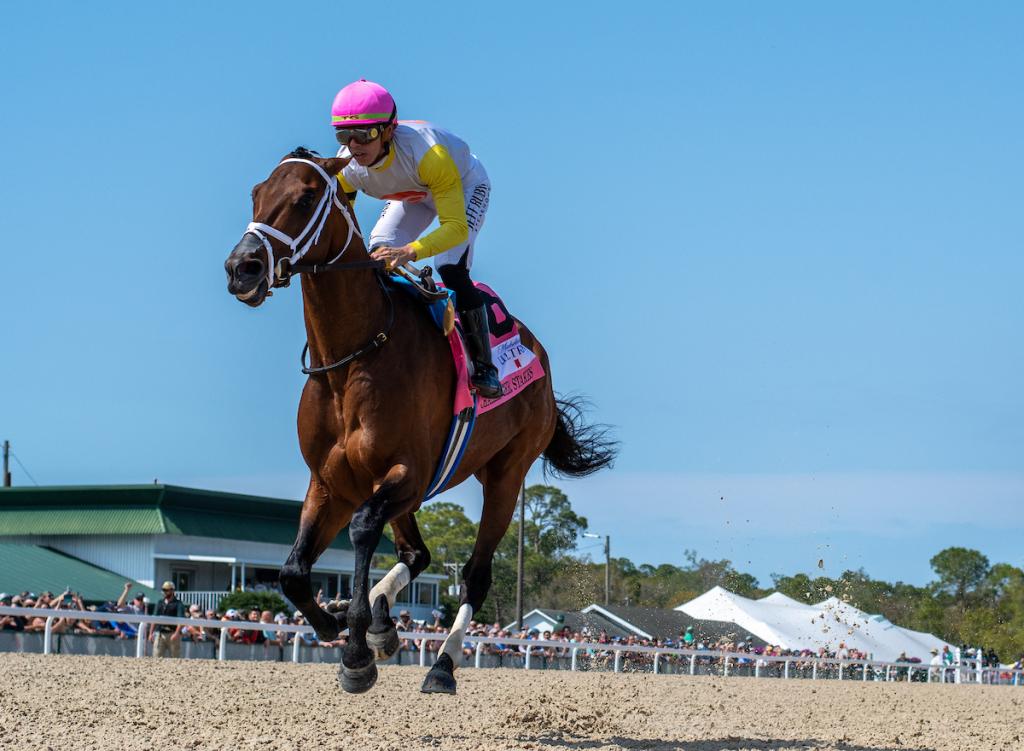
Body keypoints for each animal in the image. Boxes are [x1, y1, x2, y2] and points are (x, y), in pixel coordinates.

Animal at [224, 148, 616, 694]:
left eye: (304, 198)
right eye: (256, 193)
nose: (242, 268)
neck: (352, 361)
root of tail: (538, 357)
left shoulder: (409, 472)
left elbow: (364, 528)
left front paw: (355, 650)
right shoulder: (331, 482)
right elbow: (293, 572)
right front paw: (338, 622)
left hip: (506, 475)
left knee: (474, 574)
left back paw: (441, 665)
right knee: (417, 555)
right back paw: (385, 621)